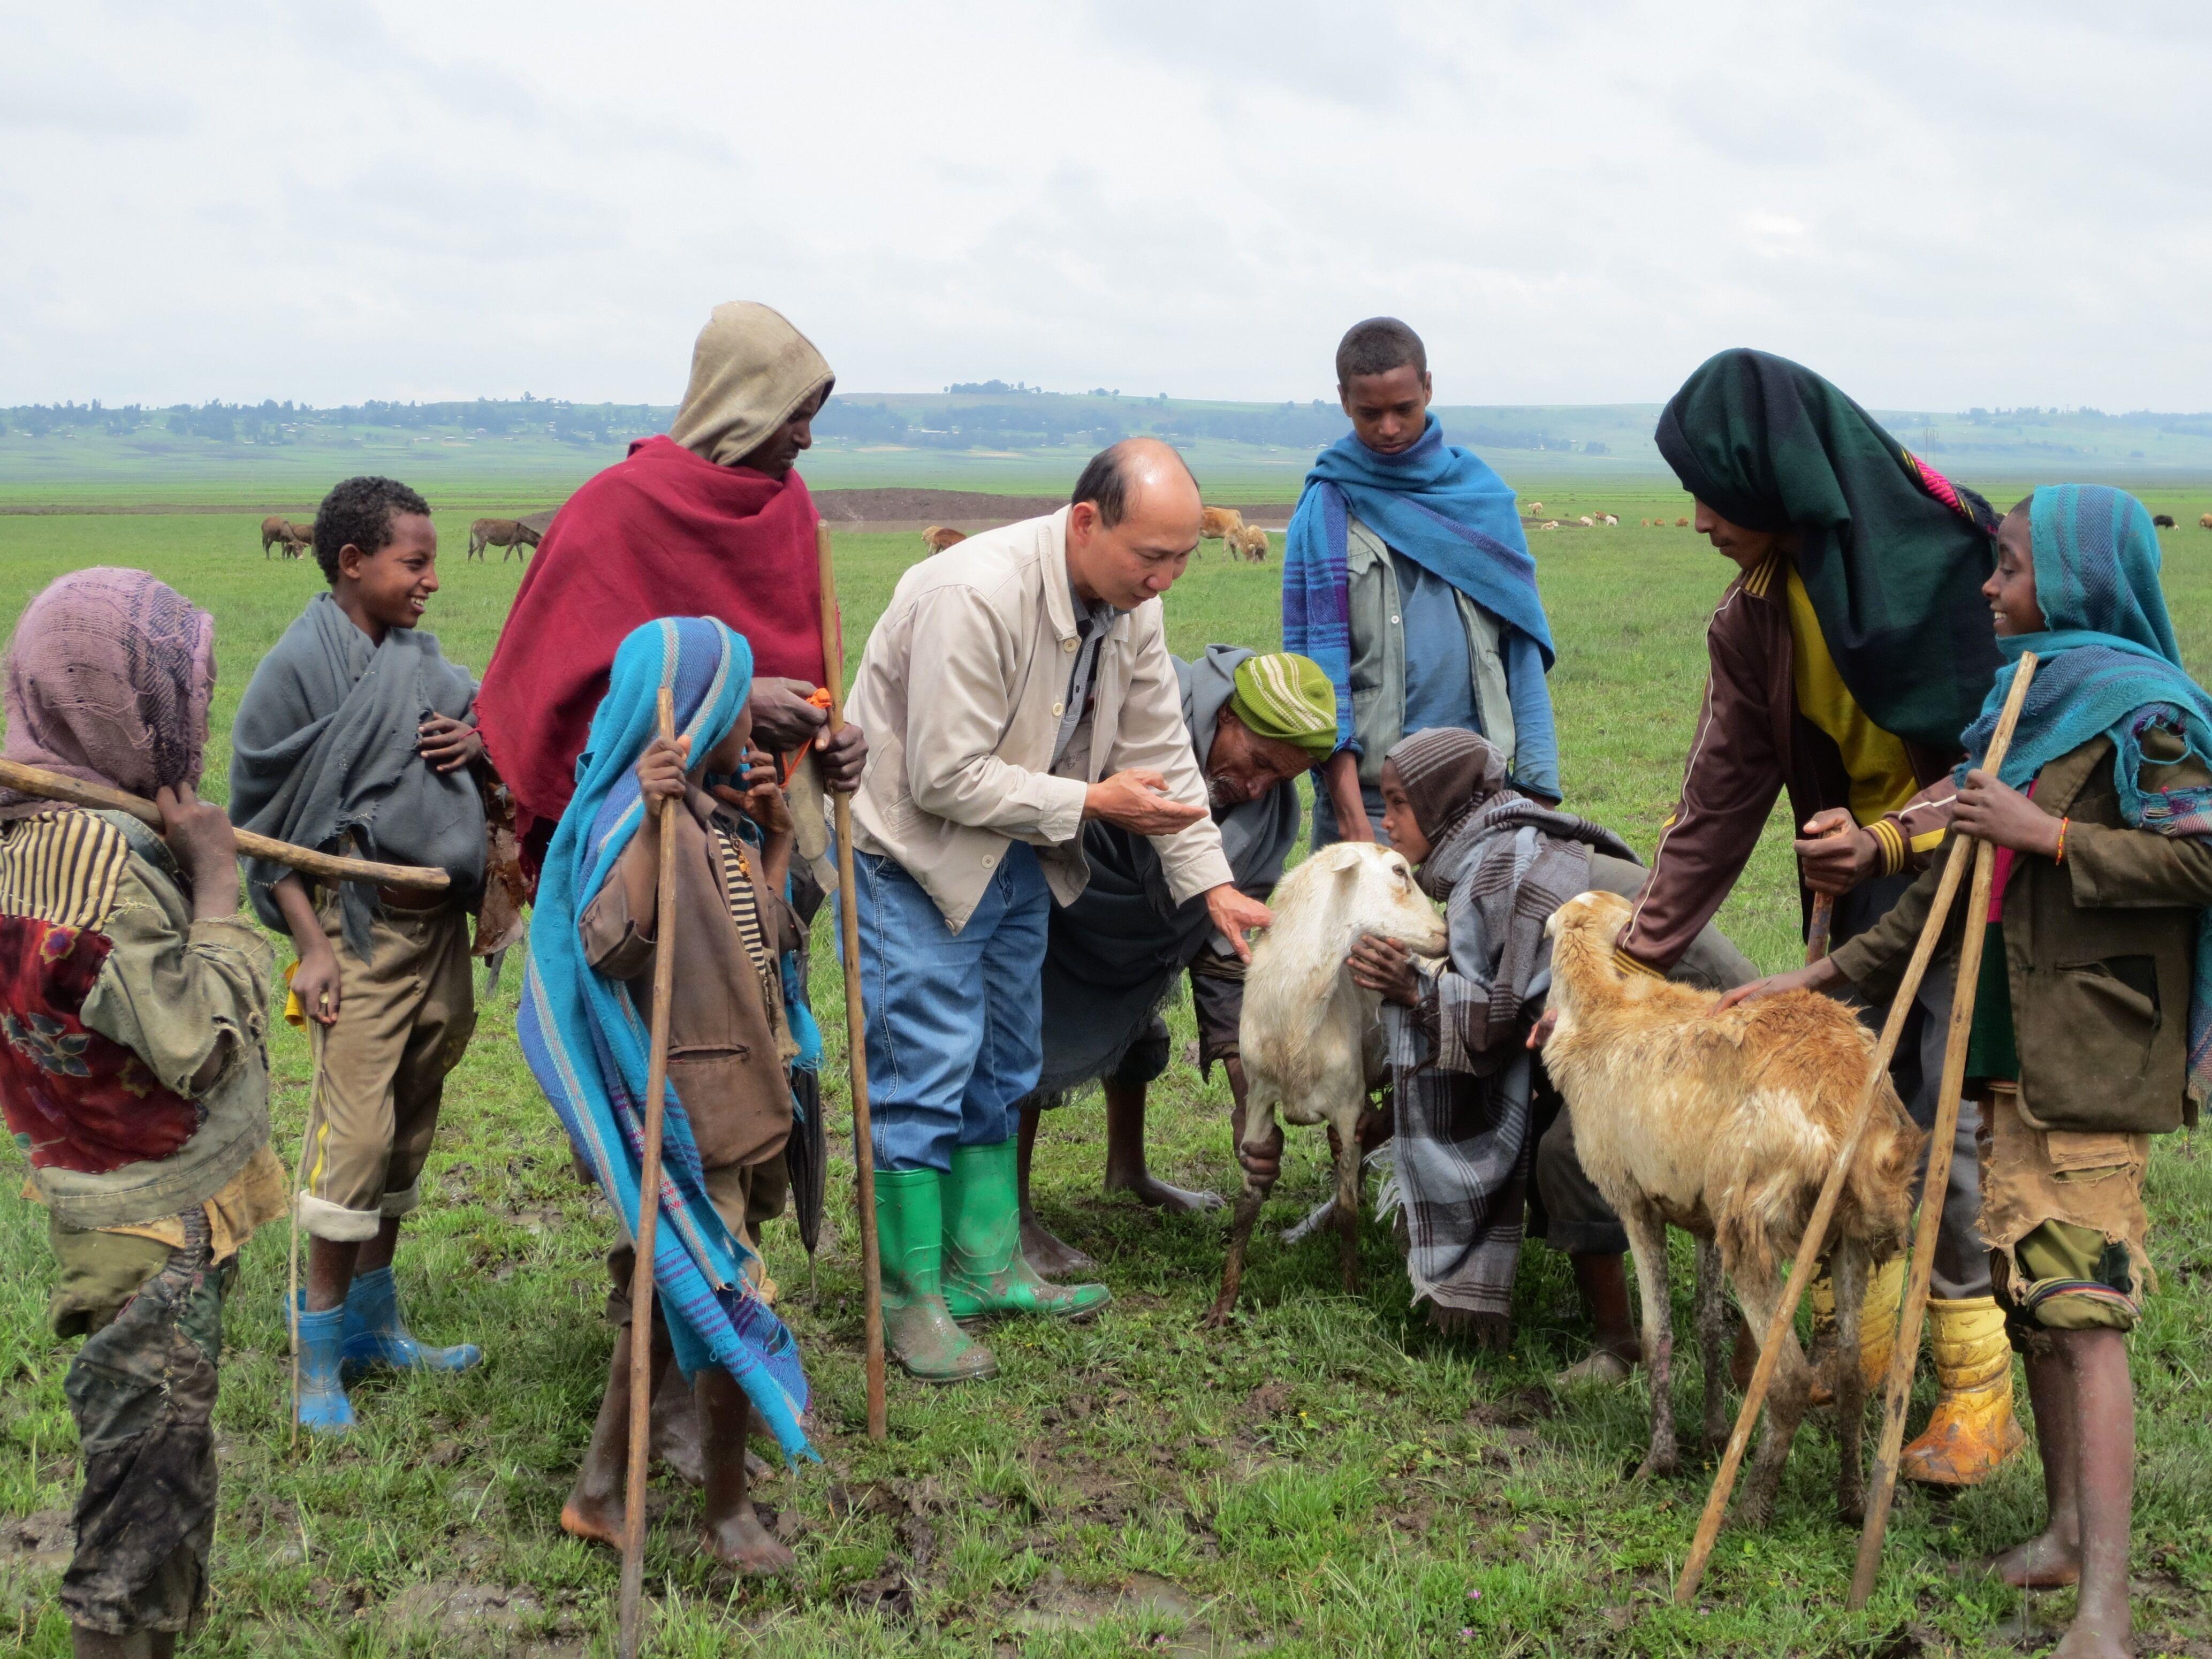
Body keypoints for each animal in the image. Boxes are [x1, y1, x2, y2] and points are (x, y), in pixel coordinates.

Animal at [1212, 844, 1451, 1327]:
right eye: (1399, 871)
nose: (1443, 933)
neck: (1297, 1021)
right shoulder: (1260, 1098)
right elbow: (1246, 1206)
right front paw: (1224, 1303)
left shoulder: (1346, 1106)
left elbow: (1347, 1212)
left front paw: (1351, 1291)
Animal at [1539, 898, 1920, 1531]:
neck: (1605, 1007)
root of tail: (1847, 1104)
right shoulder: (1697, 1215)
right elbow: (1707, 1324)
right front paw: (1715, 1433)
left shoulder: (1633, 1202)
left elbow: (1659, 1331)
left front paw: (1659, 1459)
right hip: (1845, 1236)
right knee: (1847, 1372)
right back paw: (1851, 1500)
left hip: (1754, 1225)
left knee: (1788, 1379)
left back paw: (1750, 1507)